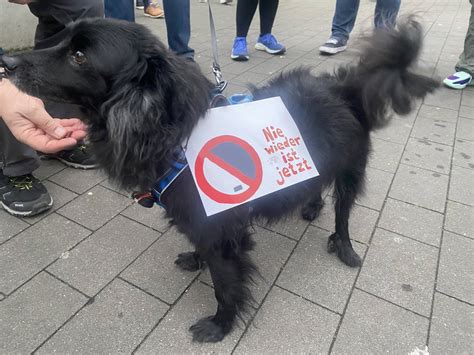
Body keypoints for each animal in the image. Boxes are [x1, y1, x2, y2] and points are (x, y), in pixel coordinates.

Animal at [1, 16, 436, 342]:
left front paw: (219, 326)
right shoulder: (201, 222)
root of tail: (345, 84)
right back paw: (310, 207)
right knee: (316, 186)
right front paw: (195, 260)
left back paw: (344, 248)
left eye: (78, 55)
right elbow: (201, 250)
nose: (6, 62)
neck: (173, 133)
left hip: (350, 171)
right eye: (60, 39)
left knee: (343, 213)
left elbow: (225, 285)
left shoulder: (223, 233)